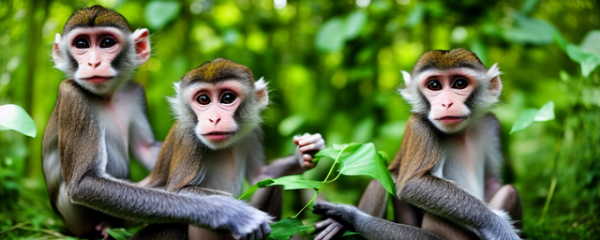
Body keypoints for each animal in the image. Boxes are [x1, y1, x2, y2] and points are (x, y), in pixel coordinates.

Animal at [44, 6, 272, 239]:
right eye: (81, 44)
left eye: (107, 43)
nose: (93, 63)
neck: (107, 97)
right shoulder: (72, 94)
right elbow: (84, 183)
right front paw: (227, 210)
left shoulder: (134, 91)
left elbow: (145, 148)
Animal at [131, 58, 326, 240]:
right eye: (203, 99)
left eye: (227, 98)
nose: (213, 119)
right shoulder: (189, 137)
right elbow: (176, 193)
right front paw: (237, 212)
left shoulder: (253, 132)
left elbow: (262, 176)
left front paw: (304, 153)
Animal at [312, 48, 524, 240]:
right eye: (434, 85)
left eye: (460, 83)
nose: (446, 103)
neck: (461, 132)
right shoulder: (420, 126)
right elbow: (413, 184)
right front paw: (499, 227)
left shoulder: (491, 124)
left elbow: (493, 181)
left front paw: (346, 217)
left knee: (510, 190)